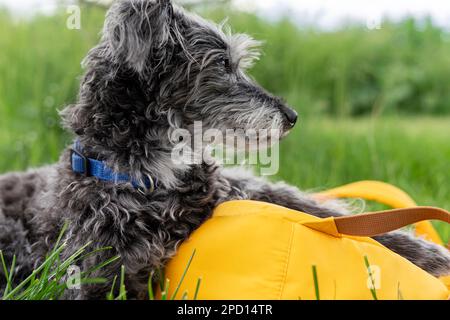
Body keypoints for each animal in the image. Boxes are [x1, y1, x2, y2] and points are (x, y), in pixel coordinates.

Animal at [0, 0, 450, 300]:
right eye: (222, 65)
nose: (292, 116)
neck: (157, 176)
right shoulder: (96, 272)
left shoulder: (237, 191)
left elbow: (327, 214)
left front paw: (431, 254)